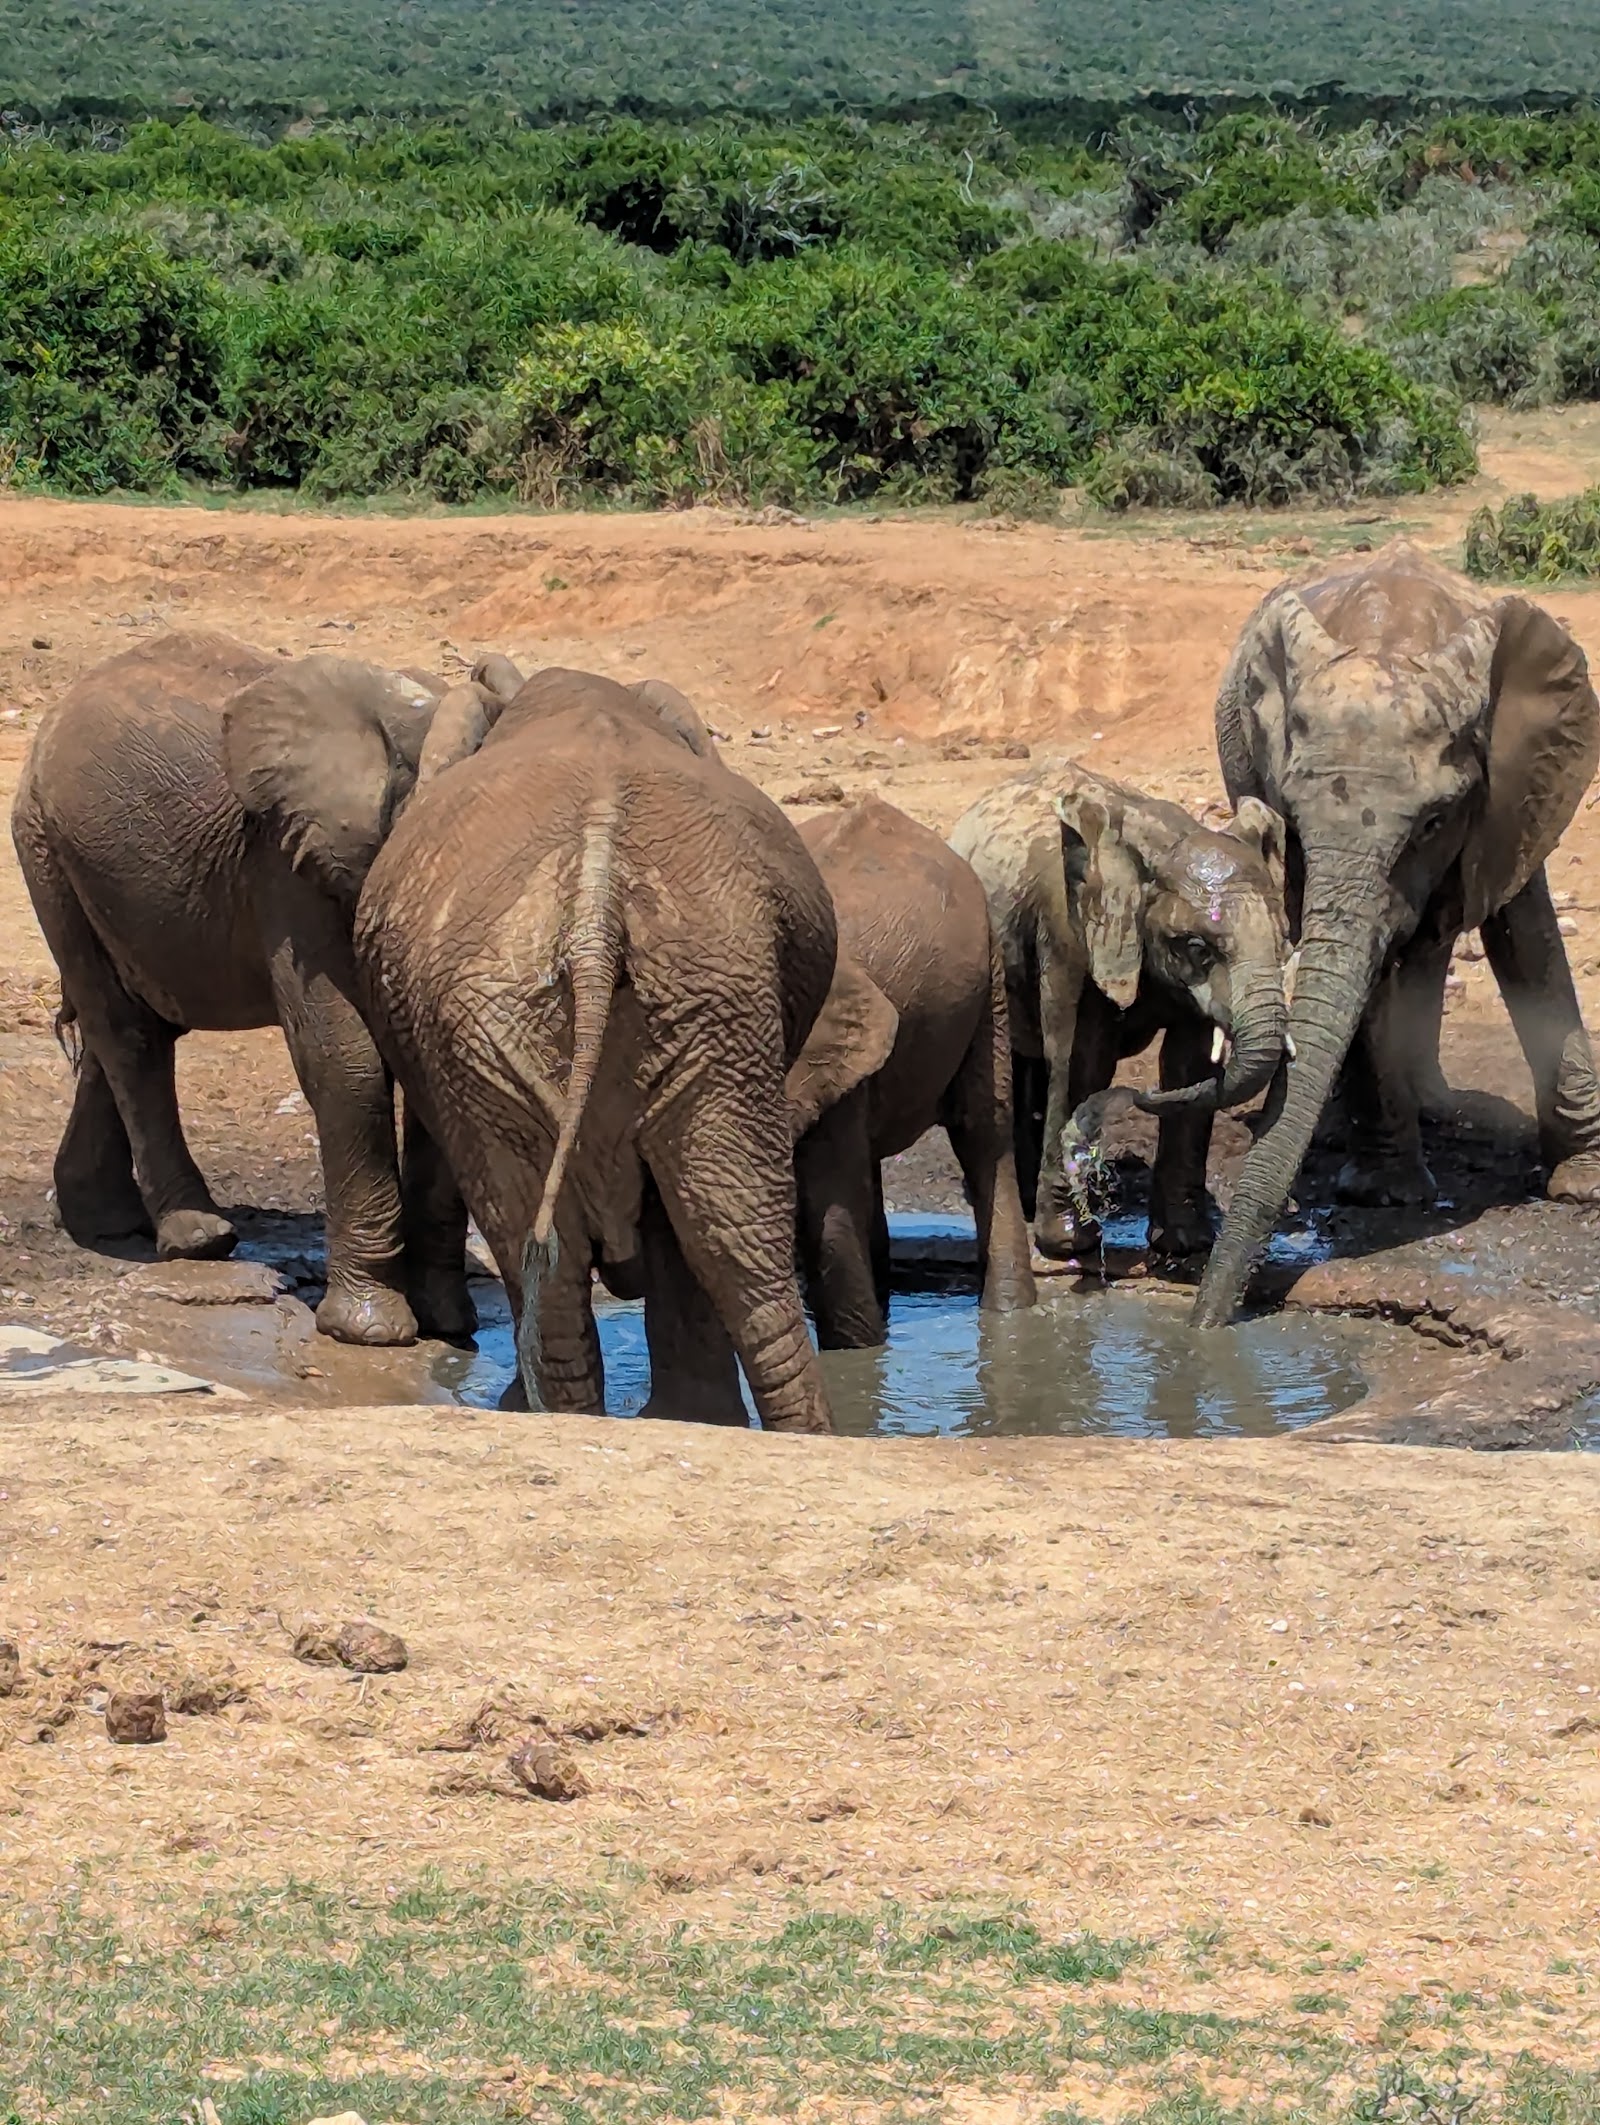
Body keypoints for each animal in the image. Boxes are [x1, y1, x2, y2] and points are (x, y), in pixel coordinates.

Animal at [10, 630, 525, 1346]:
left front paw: (450, 1329)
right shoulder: (290, 867)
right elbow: (345, 1058)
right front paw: (369, 1333)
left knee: (130, 1019)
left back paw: (110, 1225)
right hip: (44, 848)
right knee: (128, 1033)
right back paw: (197, 1239)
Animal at [950, 761, 1289, 1260]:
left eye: (1283, 939)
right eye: (1197, 947)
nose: (1136, 1096)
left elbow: (1188, 1065)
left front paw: (1186, 1244)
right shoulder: (1069, 932)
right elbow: (1084, 1060)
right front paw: (1068, 1244)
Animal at [1194, 538, 1600, 1328]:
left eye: (1434, 822)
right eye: (1294, 817)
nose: (1200, 1331)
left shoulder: (1515, 788)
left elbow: (1527, 935)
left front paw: (1585, 1182)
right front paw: (1384, 1195)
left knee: (1436, 941)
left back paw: (1436, 1107)